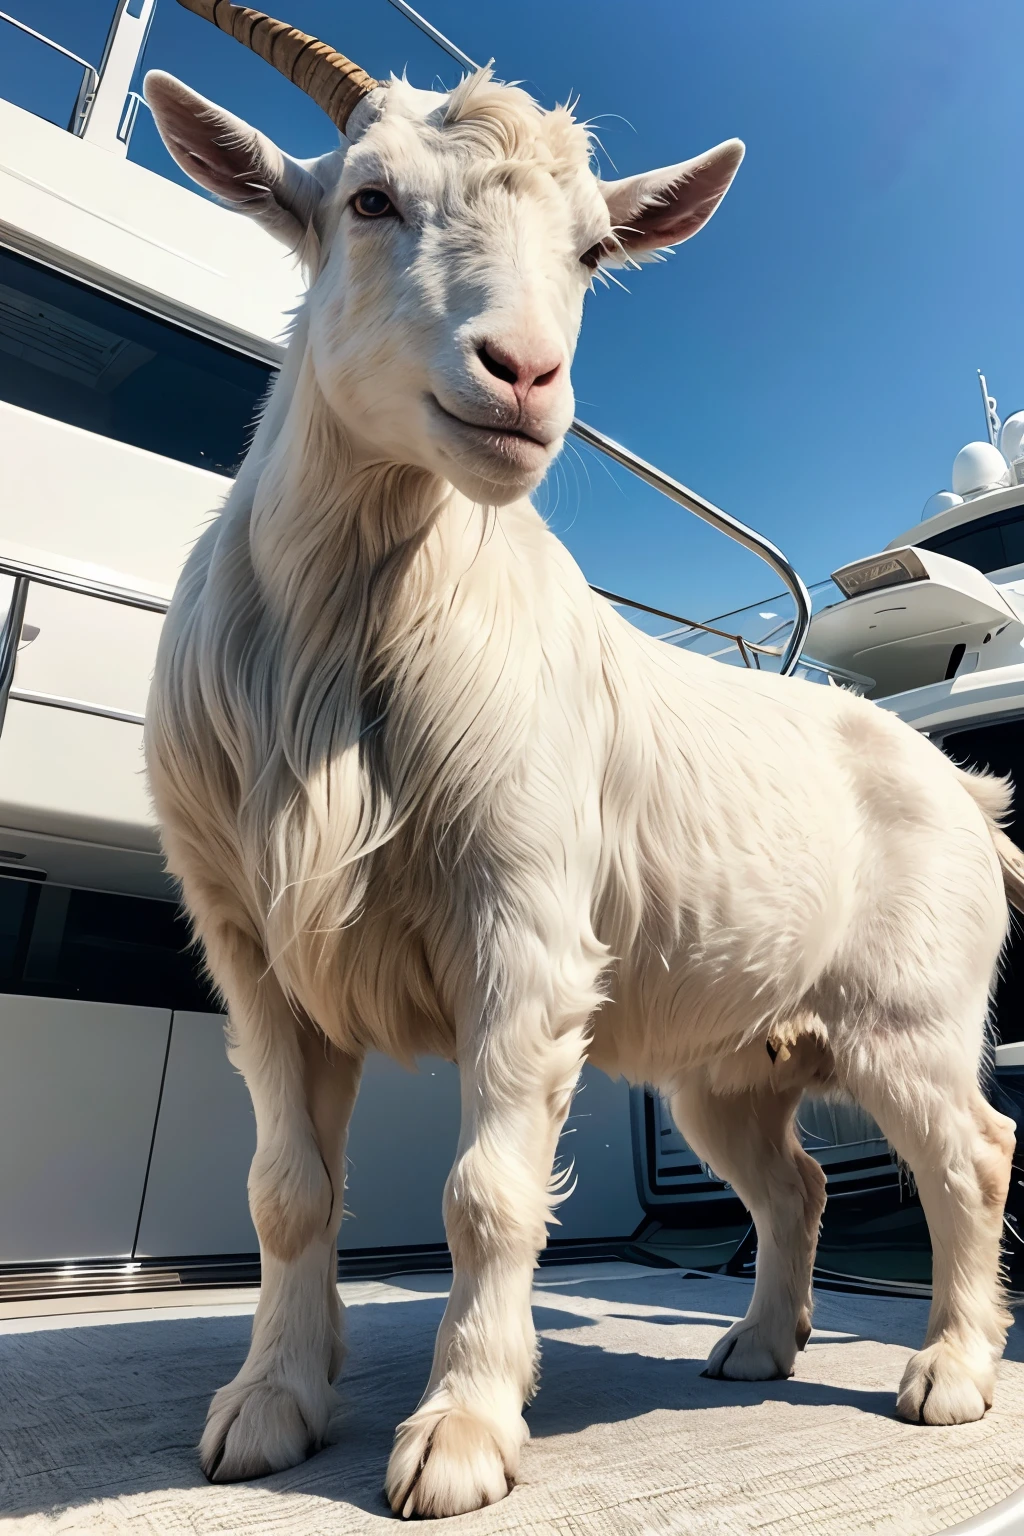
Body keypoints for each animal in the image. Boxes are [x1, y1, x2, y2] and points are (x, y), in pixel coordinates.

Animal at [144, 0, 1019, 1518]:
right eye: (366, 199)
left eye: (592, 252)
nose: (524, 379)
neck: (343, 647)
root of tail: (965, 788)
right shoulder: (250, 940)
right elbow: (285, 1190)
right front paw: (269, 1404)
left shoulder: (524, 918)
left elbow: (485, 1193)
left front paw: (460, 1437)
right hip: (731, 1057)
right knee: (788, 1181)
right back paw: (755, 1346)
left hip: (913, 1010)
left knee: (971, 1152)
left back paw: (952, 1372)